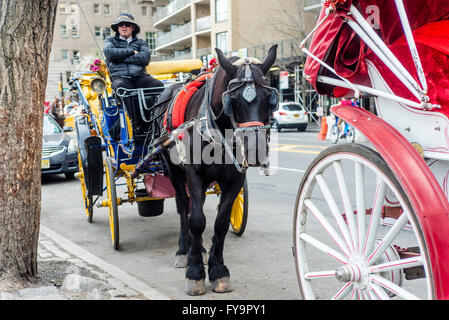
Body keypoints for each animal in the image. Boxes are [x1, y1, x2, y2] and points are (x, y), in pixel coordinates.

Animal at [156, 45, 278, 296]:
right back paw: (184, 250)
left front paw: (218, 270)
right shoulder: (193, 174)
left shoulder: (236, 179)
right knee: (184, 206)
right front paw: (195, 273)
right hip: (174, 171)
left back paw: (200, 249)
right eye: (233, 100)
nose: (255, 151)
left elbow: (220, 223)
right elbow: (196, 220)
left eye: (269, 98)